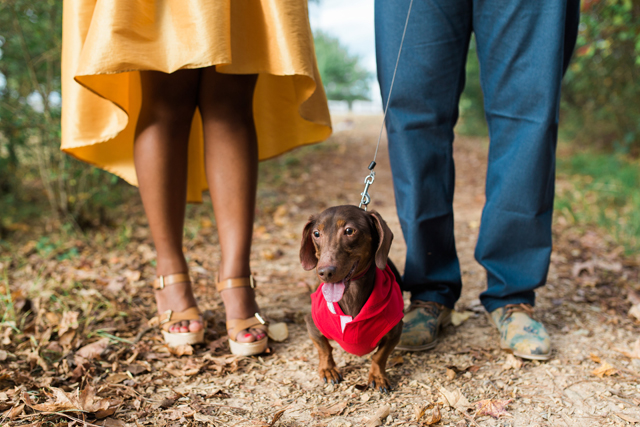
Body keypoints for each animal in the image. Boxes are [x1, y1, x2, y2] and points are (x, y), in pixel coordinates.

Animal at [298, 206, 400, 392]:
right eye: (316, 233)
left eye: (349, 231)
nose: (325, 272)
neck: (351, 293)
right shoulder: (311, 322)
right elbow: (324, 348)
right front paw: (328, 369)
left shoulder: (395, 329)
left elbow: (379, 356)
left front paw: (378, 376)